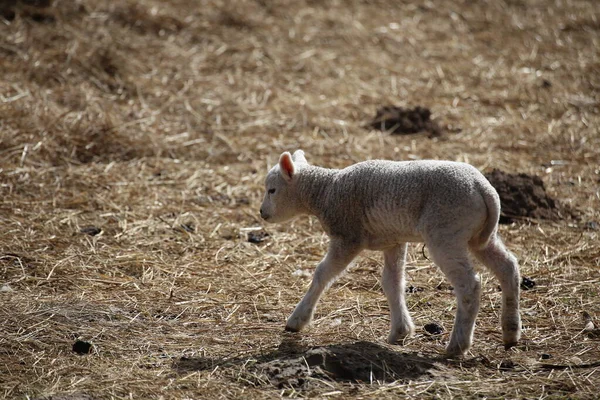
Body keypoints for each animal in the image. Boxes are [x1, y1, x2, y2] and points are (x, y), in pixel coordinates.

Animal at [260, 150, 524, 356]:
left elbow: (322, 274)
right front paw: (400, 331)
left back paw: (457, 345)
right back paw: (511, 331)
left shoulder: (348, 237)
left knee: (469, 285)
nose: (262, 213)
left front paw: (297, 320)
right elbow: (392, 282)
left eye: (272, 190)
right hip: (479, 236)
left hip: (445, 232)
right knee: (508, 266)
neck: (325, 191)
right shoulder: (393, 241)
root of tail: (484, 189)